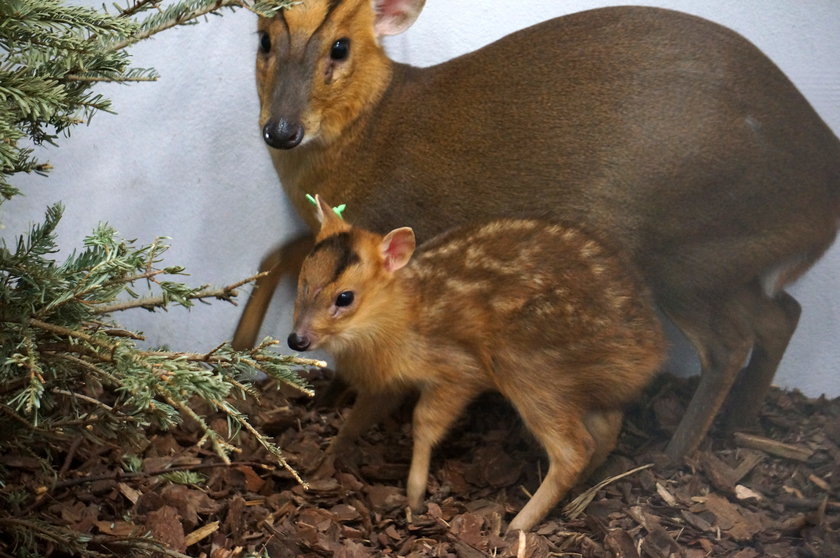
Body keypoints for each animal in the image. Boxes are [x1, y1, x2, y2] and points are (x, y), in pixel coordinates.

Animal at [235, 1, 840, 464]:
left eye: (339, 47)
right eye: (264, 40)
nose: (281, 130)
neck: (365, 132)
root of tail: (824, 199)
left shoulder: (395, 228)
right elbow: (275, 255)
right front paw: (241, 348)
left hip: (683, 254)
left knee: (729, 344)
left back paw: (669, 459)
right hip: (727, 263)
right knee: (782, 315)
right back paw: (740, 424)